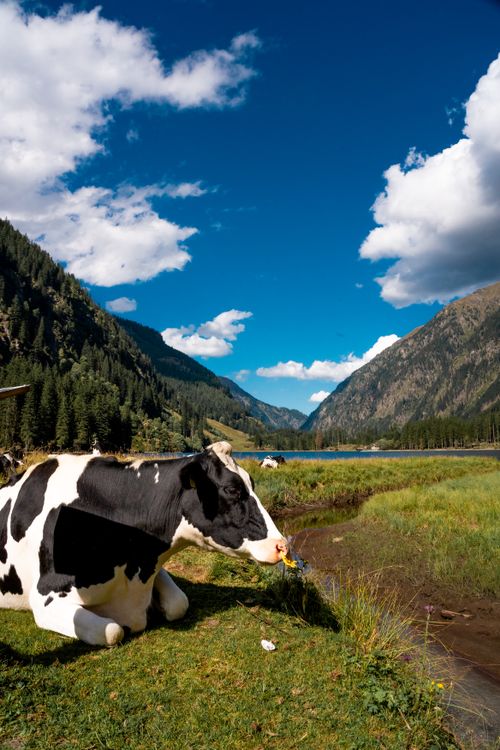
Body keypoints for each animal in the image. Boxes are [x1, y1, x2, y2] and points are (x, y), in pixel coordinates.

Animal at [0, 441, 288, 647]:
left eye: (251, 483)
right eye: (231, 490)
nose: (282, 545)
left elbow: (179, 603)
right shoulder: (45, 598)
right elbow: (113, 631)